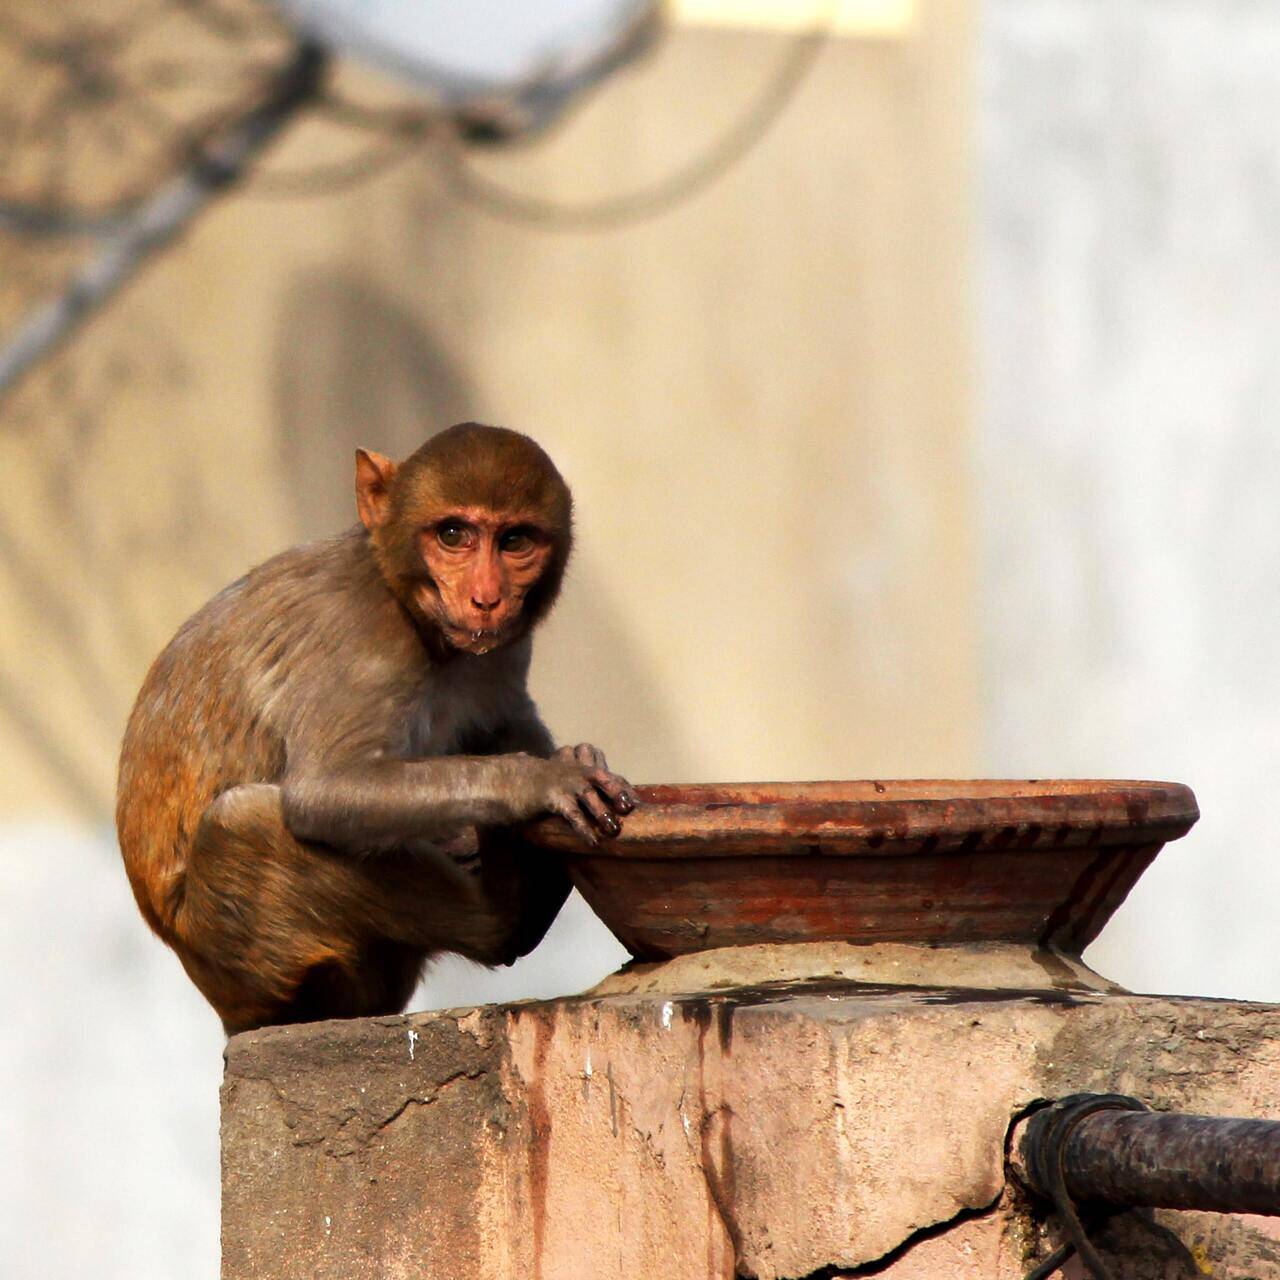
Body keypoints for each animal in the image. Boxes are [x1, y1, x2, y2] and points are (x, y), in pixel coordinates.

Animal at [116, 424, 634, 1034]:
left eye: (515, 540)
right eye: (453, 534)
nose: (486, 598)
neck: (408, 604)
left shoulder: (503, 648)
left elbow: (508, 720)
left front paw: (569, 756)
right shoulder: (360, 634)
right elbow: (324, 792)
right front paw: (539, 782)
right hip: (245, 954)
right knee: (241, 823)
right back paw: (509, 912)